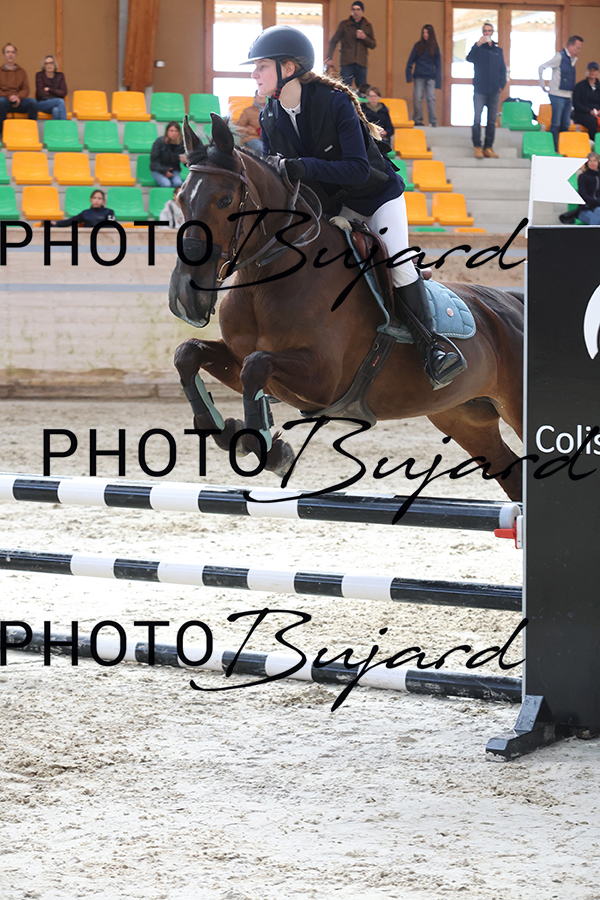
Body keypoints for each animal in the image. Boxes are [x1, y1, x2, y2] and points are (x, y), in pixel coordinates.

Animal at [169, 115, 524, 501]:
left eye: (224, 200)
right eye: (180, 198)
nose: (187, 296)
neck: (265, 282)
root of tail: (513, 306)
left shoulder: (323, 380)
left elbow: (256, 366)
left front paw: (269, 450)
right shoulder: (239, 361)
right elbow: (189, 354)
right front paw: (233, 432)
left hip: (515, 409)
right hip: (463, 417)